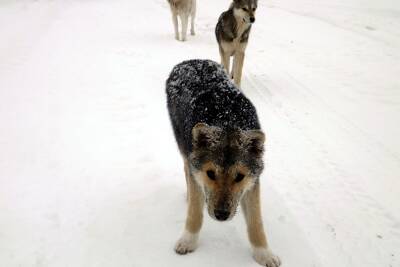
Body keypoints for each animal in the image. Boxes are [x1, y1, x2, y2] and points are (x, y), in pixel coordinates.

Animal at [166, 59, 282, 266]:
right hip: (184, 147)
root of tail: (190, 61)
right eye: (211, 174)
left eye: (239, 177)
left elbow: (256, 221)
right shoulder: (196, 173)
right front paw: (188, 240)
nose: (221, 215)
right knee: (186, 169)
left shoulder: (253, 182)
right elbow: (195, 212)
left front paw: (264, 253)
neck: (227, 119)